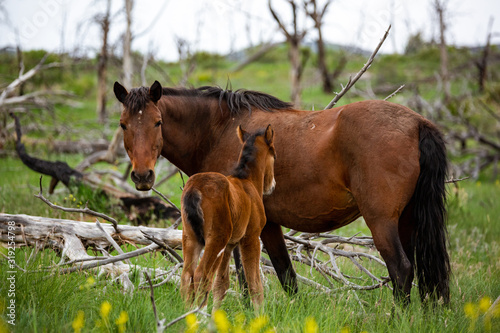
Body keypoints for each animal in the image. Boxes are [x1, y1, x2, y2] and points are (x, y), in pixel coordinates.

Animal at [115, 80, 452, 304]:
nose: (142, 175)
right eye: (123, 125)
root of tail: (417, 123)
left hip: (381, 221)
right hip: (407, 220)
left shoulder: (245, 228)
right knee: (421, 271)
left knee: (401, 270)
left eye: (158, 122)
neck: (219, 130)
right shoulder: (264, 225)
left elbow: (248, 277)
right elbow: (284, 276)